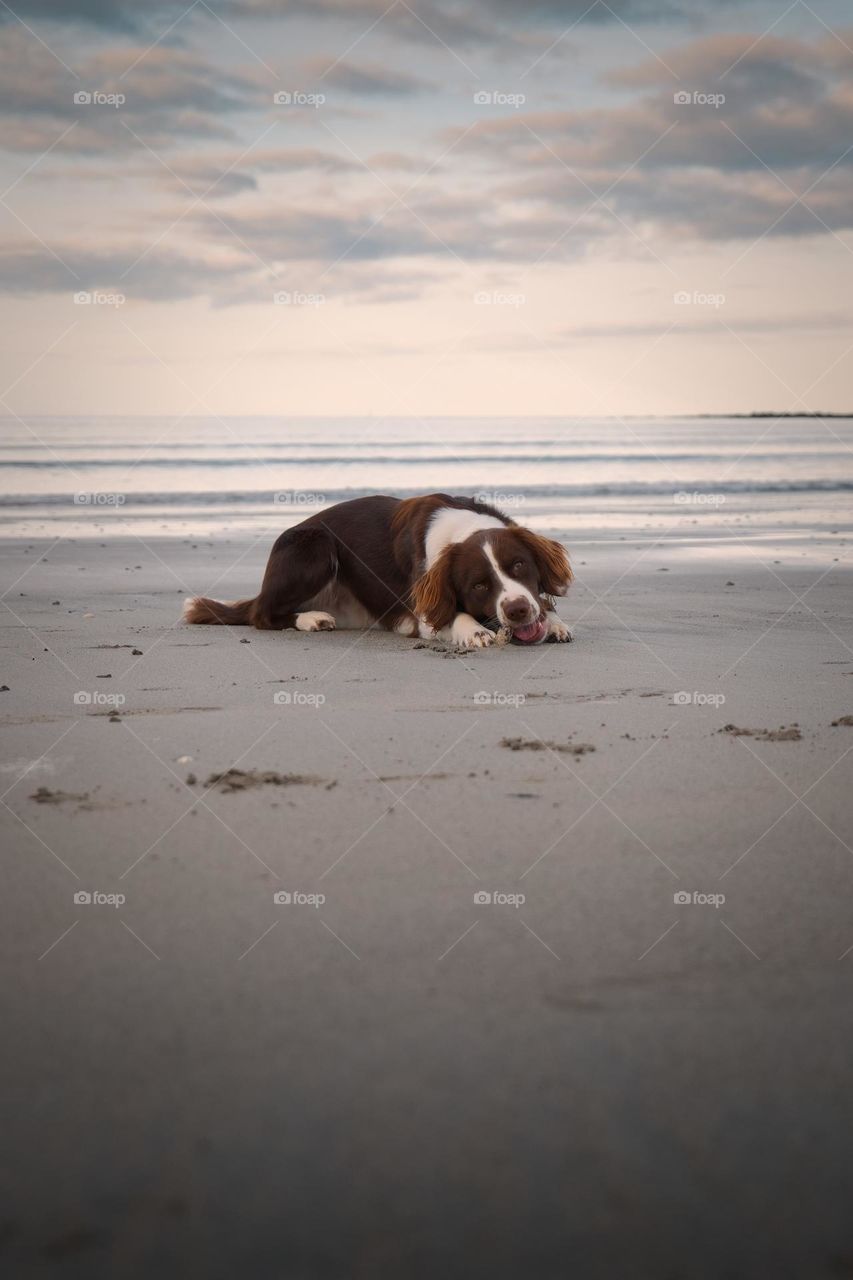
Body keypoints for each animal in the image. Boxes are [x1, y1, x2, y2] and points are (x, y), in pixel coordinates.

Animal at [184, 491, 571, 650]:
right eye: (478, 586)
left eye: (519, 565)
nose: (517, 610)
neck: (462, 529)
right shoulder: (423, 614)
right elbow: (450, 615)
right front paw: (474, 630)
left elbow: (544, 603)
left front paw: (553, 621)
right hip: (316, 546)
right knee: (261, 614)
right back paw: (311, 619)